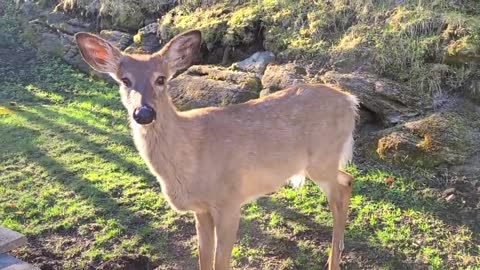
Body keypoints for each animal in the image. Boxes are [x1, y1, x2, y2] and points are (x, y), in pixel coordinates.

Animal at [75, 29, 358, 270]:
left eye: (161, 79)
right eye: (125, 80)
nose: (143, 113)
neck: (191, 156)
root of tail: (350, 100)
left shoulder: (229, 200)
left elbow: (221, 261)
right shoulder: (201, 209)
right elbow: (204, 257)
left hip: (322, 159)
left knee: (339, 193)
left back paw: (333, 262)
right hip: (320, 163)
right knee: (347, 179)